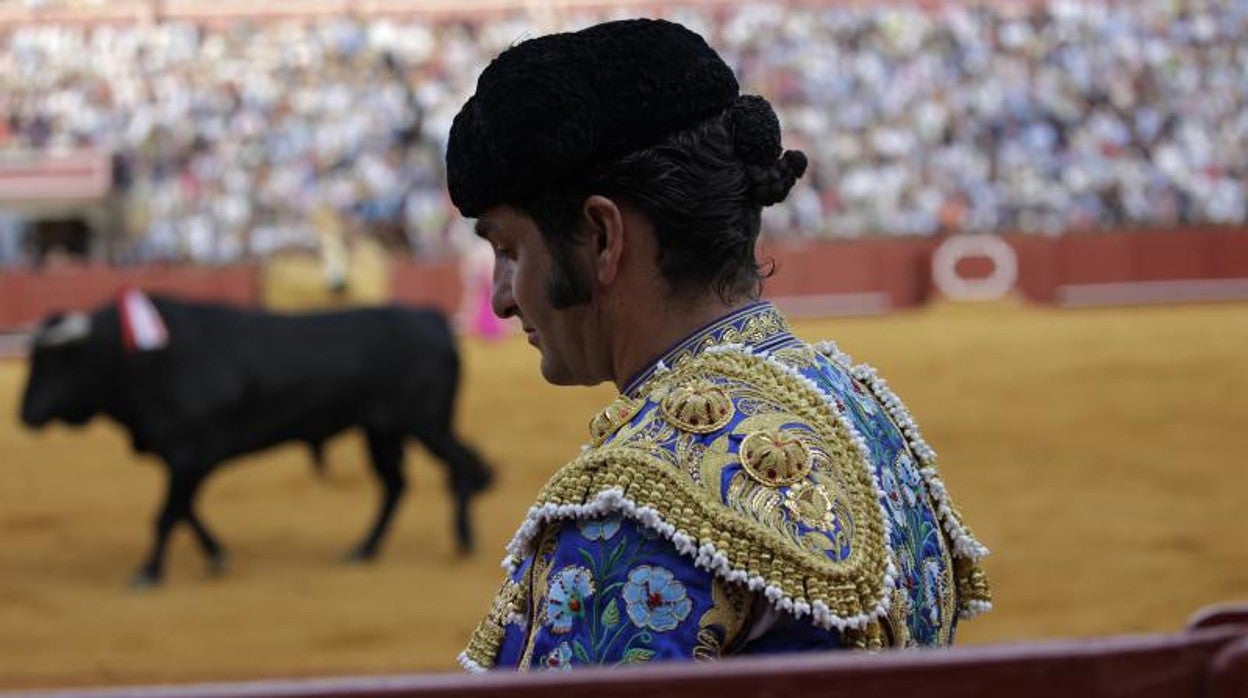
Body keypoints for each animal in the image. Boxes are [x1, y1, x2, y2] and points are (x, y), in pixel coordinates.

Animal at [17, 297, 491, 586]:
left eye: (55, 361)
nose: (25, 414)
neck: (143, 360)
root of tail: (431, 319)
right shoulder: (185, 459)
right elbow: (185, 510)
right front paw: (217, 556)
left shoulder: (189, 454)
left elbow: (167, 514)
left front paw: (148, 573)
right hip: (382, 431)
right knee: (397, 485)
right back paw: (363, 550)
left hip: (426, 425)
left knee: (462, 467)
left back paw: (464, 540)